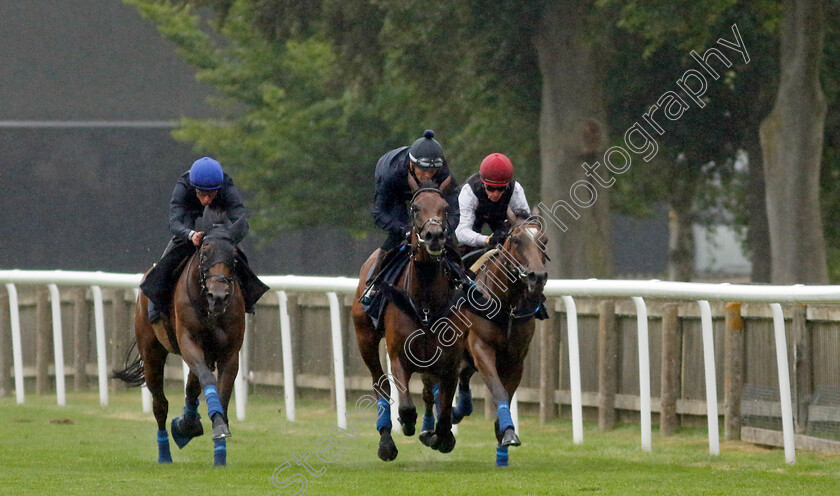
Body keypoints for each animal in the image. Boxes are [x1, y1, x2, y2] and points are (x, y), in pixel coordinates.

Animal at [350, 179, 466, 462]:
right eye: (415, 208)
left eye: (446, 208)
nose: (434, 236)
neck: (425, 303)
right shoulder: (398, 356)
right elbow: (404, 406)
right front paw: (407, 424)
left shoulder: (449, 361)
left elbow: (444, 413)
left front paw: (440, 437)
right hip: (365, 338)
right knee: (380, 385)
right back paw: (386, 441)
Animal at [450, 216, 548, 464]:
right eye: (516, 240)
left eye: (544, 241)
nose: (537, 276)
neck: (507, 305)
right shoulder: (482, 348)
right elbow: (498, 390)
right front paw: (509, 432)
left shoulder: (515, 359)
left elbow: (506, 392)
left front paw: (505, 439)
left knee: (462, 375)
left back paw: (460, 410)